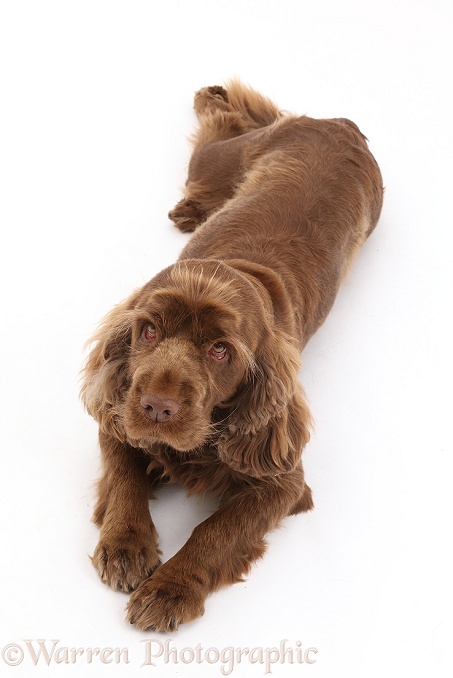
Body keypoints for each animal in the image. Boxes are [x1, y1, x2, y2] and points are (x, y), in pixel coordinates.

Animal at [80, 79, 382, 632]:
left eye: (220, 350)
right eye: (148, 330)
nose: (157, 407)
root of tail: (339, 123)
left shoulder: (283, 481)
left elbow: (216, 530)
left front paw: (170, 590)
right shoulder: (117, 410)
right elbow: (123, 474)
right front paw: (125, 545)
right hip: (219, 161)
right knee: (225, 120)